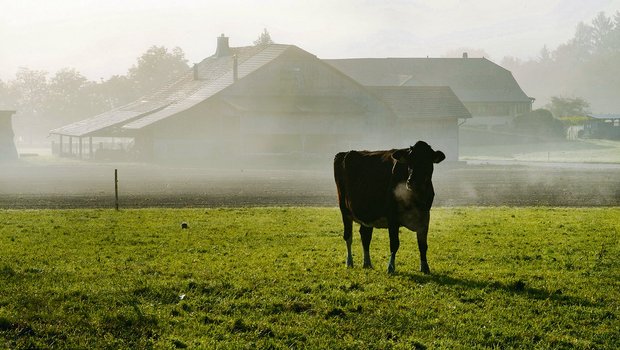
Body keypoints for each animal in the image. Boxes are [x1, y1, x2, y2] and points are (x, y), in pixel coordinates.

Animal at [334, 141, 446, 274]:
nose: (412, 181)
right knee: (348, 236)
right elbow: (394, 244)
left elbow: (423, 245)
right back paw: (349, 262)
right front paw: (391, 267)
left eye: (427, 161)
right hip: (344, 210)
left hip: (367, 214)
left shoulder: (425, 216)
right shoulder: (392, 217)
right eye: (409, 161)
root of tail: (344, 153)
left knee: (365, 236)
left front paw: (425, 267)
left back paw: (367, 263)